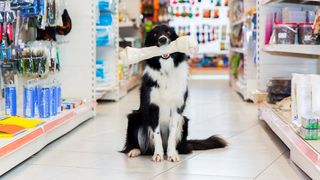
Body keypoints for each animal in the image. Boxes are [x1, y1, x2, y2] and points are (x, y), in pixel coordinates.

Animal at [120, 25, 228, 162]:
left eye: (168, 32)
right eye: (155, 34)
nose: (162, 39)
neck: (166, 71)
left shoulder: (177, 108)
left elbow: (172, 131)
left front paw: (172, 154)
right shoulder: (153, 107)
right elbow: (156, 133)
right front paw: (158, 154)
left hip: (184, 120)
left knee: (183, 147)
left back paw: (176, 150)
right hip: (135, 117)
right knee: (137, 143)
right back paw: (135, 150)